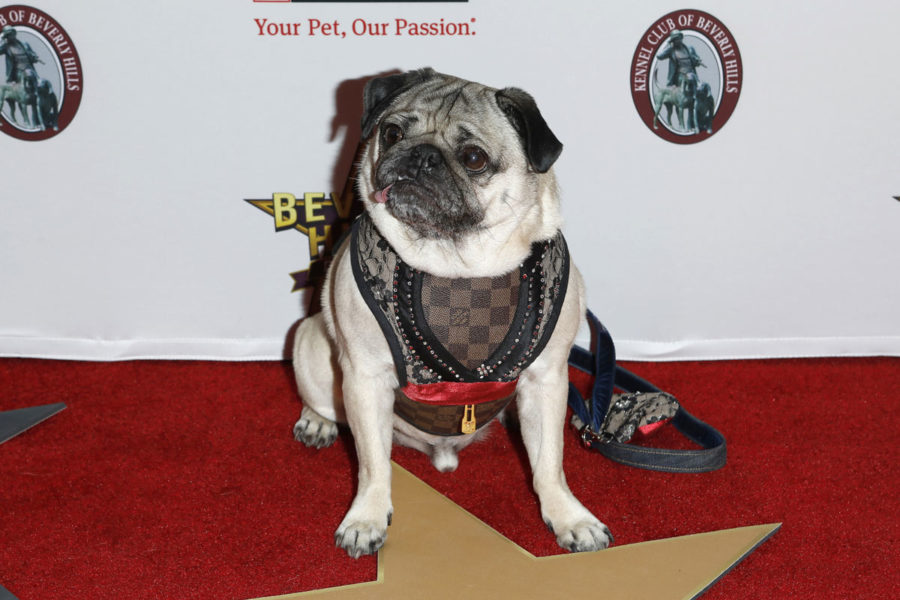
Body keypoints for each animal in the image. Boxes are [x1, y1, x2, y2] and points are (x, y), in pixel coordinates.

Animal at [294, 68, 612, 560]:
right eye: (392, 132)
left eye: (474, 158)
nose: (421, 155)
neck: (456, 264)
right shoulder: (364, 378)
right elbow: (372, 464)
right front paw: (367, 518)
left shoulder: (547, 380)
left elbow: (549, 463)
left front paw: (568, 517)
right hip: (309, 344)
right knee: (326, 402)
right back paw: (317, 421)